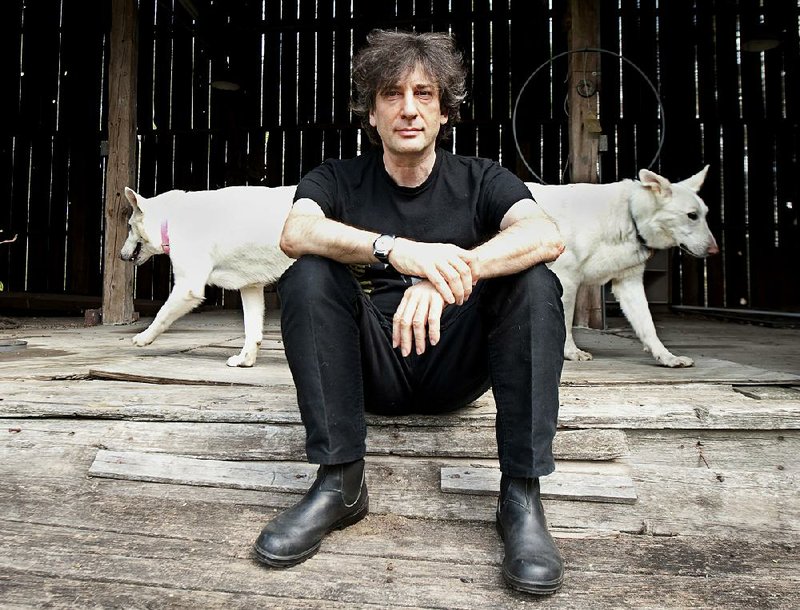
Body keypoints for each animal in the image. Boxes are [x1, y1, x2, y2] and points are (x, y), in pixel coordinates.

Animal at [119, 185, 294, 366]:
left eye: (130, 227)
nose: (121, 256)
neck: (169, 220)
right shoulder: (250, 288)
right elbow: (252, 330)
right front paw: (244, 360)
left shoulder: (187, 287)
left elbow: (162, 314)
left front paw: (144, 337)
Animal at [528, 166, 720, 366]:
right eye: (692, 215)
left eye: (705, 215)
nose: (716, 251)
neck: (631, 217)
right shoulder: (566, 279)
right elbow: (565, 322)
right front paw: (571, 352)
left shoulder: (629, 283)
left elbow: (648, 325)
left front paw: (667, 357)